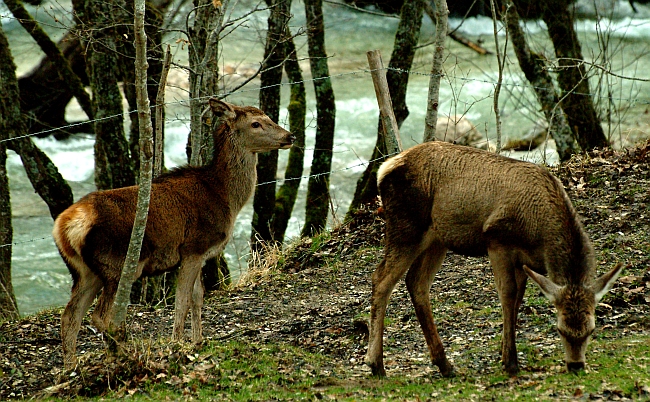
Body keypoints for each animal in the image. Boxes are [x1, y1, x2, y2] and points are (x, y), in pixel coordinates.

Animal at [54, 99, 294, 370]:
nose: (290, 136)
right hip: (117, 263)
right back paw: (125, 353)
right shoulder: (194, 247)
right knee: (99, 316)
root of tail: (64, 226)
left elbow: (198, 297)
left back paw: (71, 368)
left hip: (85, 271)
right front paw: (177, 344)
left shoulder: (201, 254)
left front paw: (198, 341)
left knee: (70, 316)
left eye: (269, 118)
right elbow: (182, 300)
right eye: (256, 123)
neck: (224, 196)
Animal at [364, 141, 624, 376]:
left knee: (416, 282)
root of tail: (384, 169)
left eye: (591, 330)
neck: (540, 236)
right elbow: (507, 294)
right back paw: (376, 364)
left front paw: (504, 352)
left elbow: (518, 298)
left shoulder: (523, 261)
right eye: (560, 329)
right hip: (406, 226)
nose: (576, 365)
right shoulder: (497, 240)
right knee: (381, 279)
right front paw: (510, 361)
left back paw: (444, 364)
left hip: (437, 238)